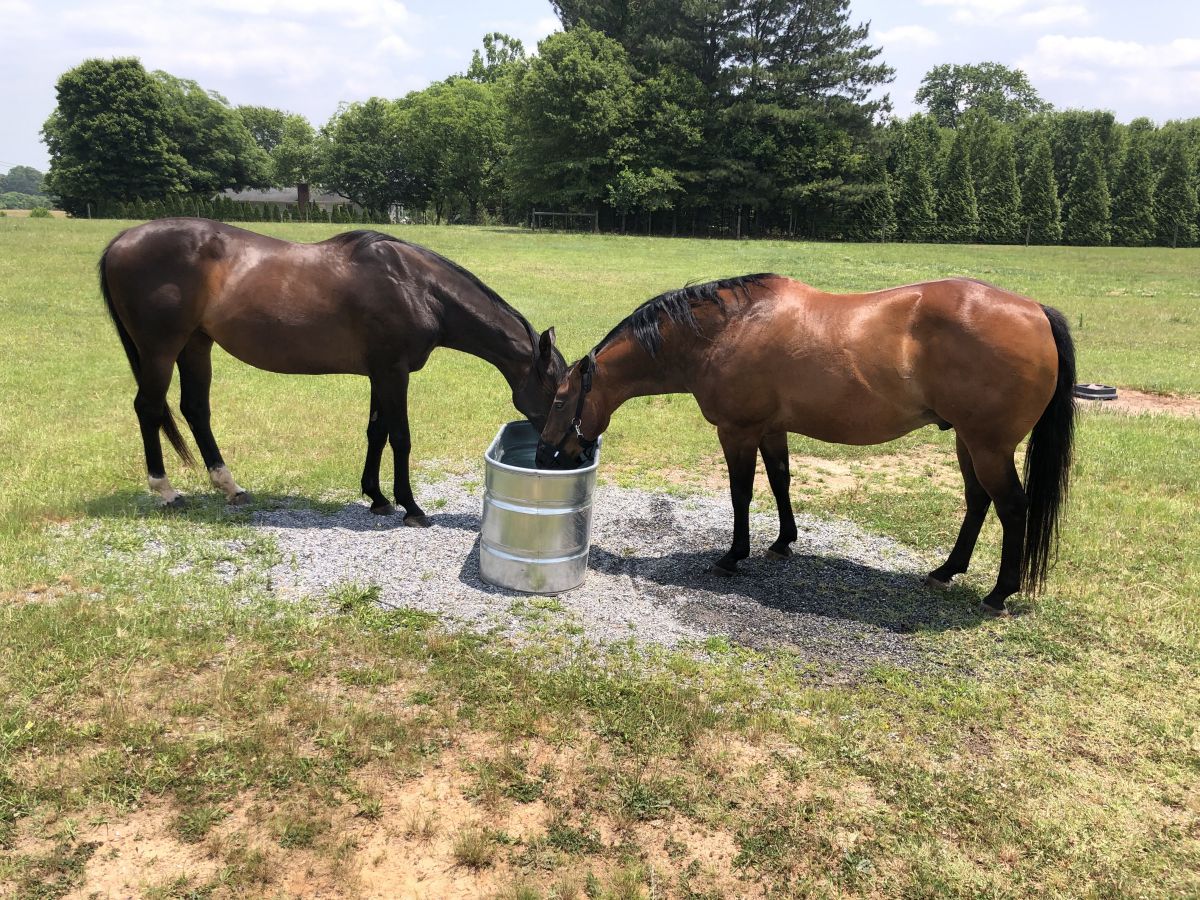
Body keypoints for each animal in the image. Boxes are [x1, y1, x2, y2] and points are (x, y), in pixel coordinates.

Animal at [96, 218, 564, 525]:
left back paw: (230, 487)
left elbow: (376, 432)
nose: (553, 456)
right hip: (160, 349)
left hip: (196, 345)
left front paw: (377, 498)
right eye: (559, 396)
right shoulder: (393, 372)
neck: (418, 288)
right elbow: (400, 437)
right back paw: (166, 492)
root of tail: (122, 239)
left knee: (195, 408)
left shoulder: (380, 374)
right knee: (148, 408)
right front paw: (411, 507)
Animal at [537, 273, 1080, 614]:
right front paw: (782, 542)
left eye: (560, 401)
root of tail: (1036, 311)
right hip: (968, 441)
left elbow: (741, 493)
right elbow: (781, 482)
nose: (544, 455)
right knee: (977, 500)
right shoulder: (772, 429)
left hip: (988, 445)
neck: (725, 330)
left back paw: (999, 593)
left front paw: (733, 556)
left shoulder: (737, 430)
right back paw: (947, 571)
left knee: (1011, 507)